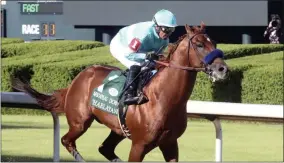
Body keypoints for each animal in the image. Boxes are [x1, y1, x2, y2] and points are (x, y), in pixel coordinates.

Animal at [11, 23, 229, 162]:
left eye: (215, 43)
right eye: (199, 44)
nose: (223, 69)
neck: (164, 99)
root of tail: (79, 76)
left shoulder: (170, 143)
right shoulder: (139, 145)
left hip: (118, 128)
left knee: (104, 148)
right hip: (80, 121)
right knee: (67, 140)